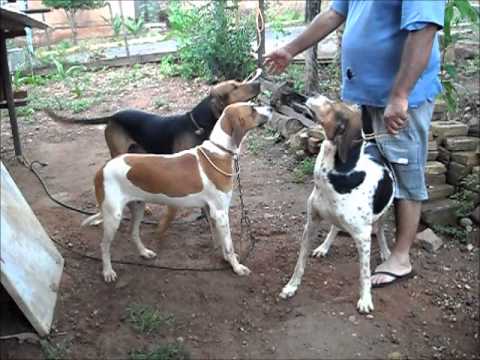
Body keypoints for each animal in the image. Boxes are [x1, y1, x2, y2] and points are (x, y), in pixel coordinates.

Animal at [44, 78, 262, 158]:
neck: (198, 124)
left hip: (137, 151)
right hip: (118, 151)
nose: (259, 83)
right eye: (235, 87)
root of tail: (113, 116)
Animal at [81, 101, 270, 282]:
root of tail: (102, 169)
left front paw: (226, 259)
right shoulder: (220, 213)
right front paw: (237, 267)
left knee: (133, 234)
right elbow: (229, 244)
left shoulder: (212, 212)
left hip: (138, 207)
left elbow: (222, 241)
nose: (270, 107)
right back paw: (107, 272)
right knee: (104, 246)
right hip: (113, 217)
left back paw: (144, 252)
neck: (218, 152)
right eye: (252, 109)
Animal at [278, 95, 394, 312]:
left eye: (331, 105)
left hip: (384, 210)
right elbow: (300, 262)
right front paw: (291, 286)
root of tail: (372, 143)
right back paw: (324, 246)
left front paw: (365, 299)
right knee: (335, 226)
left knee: (380, 229)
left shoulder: (363, 237)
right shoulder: (311, 223)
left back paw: (385, 251)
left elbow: (364, 274)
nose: (313, 94)